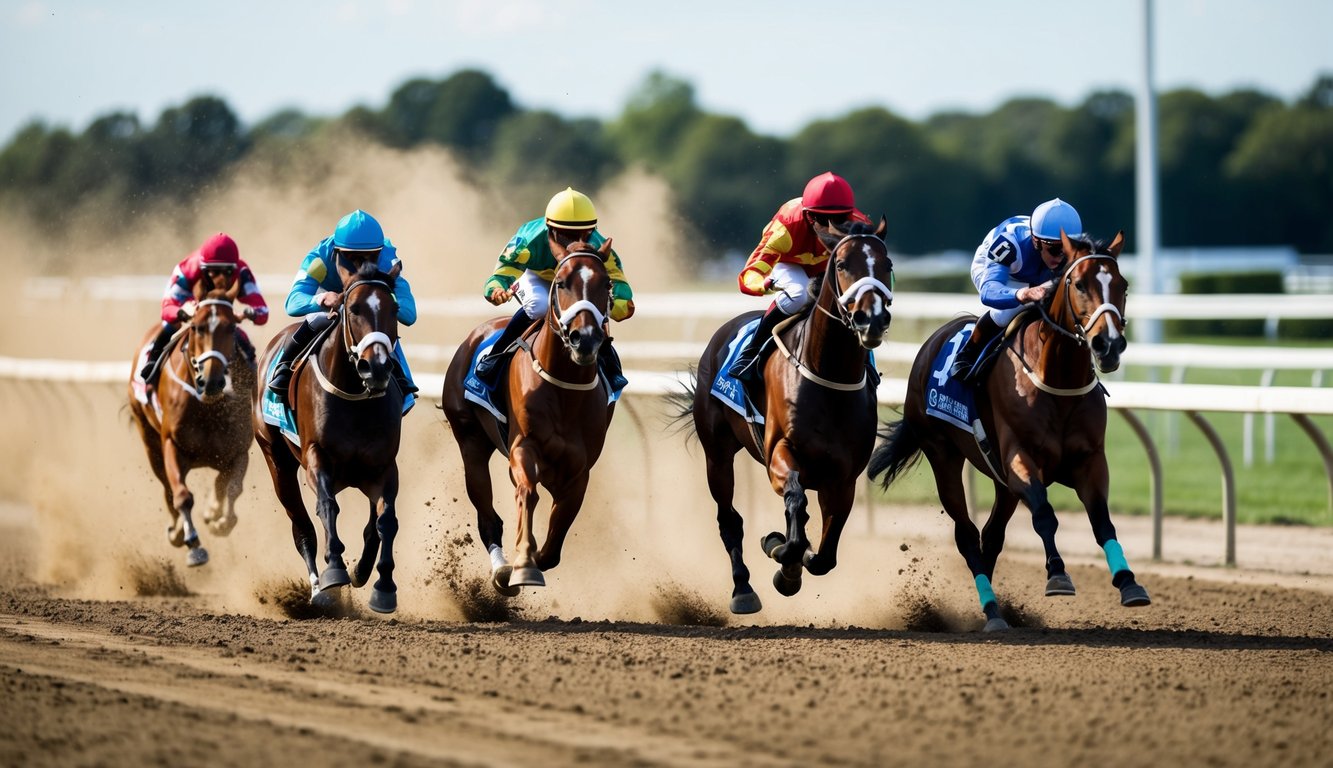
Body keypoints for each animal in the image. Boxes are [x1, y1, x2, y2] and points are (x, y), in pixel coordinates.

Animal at [127, 273, 251, 568]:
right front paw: (193, 544)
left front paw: (219, 519)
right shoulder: (172, 445)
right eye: (196, 327)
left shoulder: (239, 450)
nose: (212, 381)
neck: (207, 407)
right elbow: (182, 496)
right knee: (168, 489)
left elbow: (233, 488)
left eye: (232, 327)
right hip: (150, 441)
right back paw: (176, 531)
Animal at [251, 258, 402, 613]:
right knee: (302, 526)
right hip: (276, 459)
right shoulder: (316, 457)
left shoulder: (384, 466)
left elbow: (385, 520)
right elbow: (326, 506)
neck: (354, 397)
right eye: (354, 308)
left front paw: (381, 585)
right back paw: (319, 588)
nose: (376, 367)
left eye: (395, 308)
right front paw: (335, 568)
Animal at [442, 238, 618, 594]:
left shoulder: (580, 470)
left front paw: (535, 555)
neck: (564, 389)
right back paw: (501, 568)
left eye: (606, 284)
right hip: (470, 439)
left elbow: (554, 545)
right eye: (561, 283)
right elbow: (528, 493)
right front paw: (522, 564)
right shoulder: (523, 447)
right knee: (488, 515)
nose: (585, 338)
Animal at [671, 216, 890, 613]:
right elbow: (795, 501)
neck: (828, 376)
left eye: (888, 265)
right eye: (841, 264)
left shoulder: (844, 479)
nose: (873, 319)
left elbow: (825, 555)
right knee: (729, 519)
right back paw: (743, 589)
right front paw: (779, 549)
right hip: (717, 455)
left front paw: (792, 564)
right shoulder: (778, 453)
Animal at [869, 230, 1151, 632]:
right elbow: (1045, 515)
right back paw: (991, 612)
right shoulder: (1021, 458)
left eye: (1123, 285)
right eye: (1080, 284)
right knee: (968, 535)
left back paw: (991, 608)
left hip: (1001, 481)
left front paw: (1129, 582)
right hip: (943, 455)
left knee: (991, 535)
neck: (1057, 380)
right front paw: (1058, 575)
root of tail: (933, 342)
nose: (1108, 344)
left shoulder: (1089, 461)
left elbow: (1102, 520)